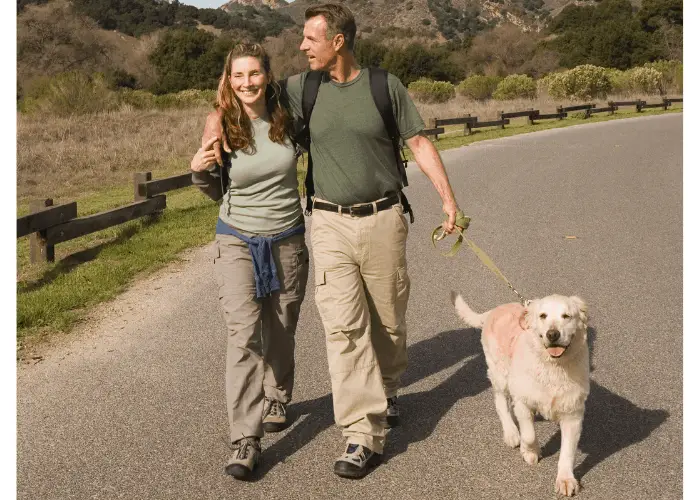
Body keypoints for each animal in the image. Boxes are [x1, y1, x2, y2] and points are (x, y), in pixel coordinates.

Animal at [452, 292, 588, 496]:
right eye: (543, 316)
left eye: (566, 316)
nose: (552, 334)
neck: (553, 367)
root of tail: (495, 310)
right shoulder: (523, 401)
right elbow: (529, 434)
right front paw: (529, 451)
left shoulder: (573, 413)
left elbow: (568, 452)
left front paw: (565, 480)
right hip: (500, 373)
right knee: (501, 403)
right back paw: (511, 433)